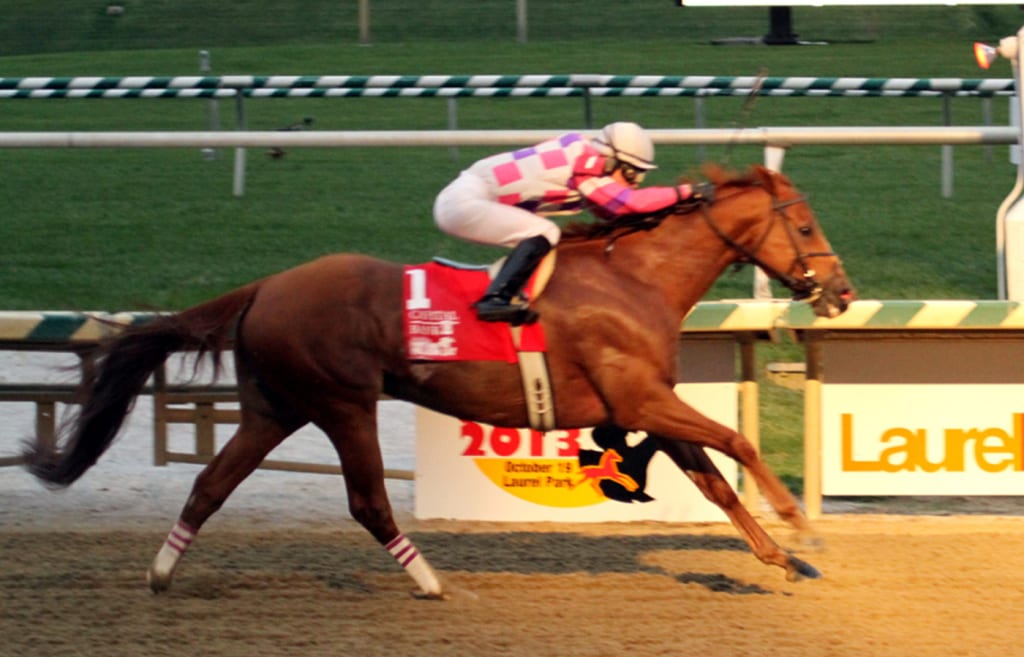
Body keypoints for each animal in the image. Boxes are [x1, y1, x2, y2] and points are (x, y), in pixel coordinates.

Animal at [25, 162, 856, 593]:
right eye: (805, 224)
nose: (841, 291)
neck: (635, 278)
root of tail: (264, 286)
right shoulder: (640, 397)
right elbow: (737, 446)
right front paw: (801, 520)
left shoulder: (645, 403)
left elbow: (716, 480)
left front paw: (786, 556)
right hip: (342, 401)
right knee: (368, 501)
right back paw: (429, 580)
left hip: (275, 406)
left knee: (210, 484)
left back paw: (162, 573)